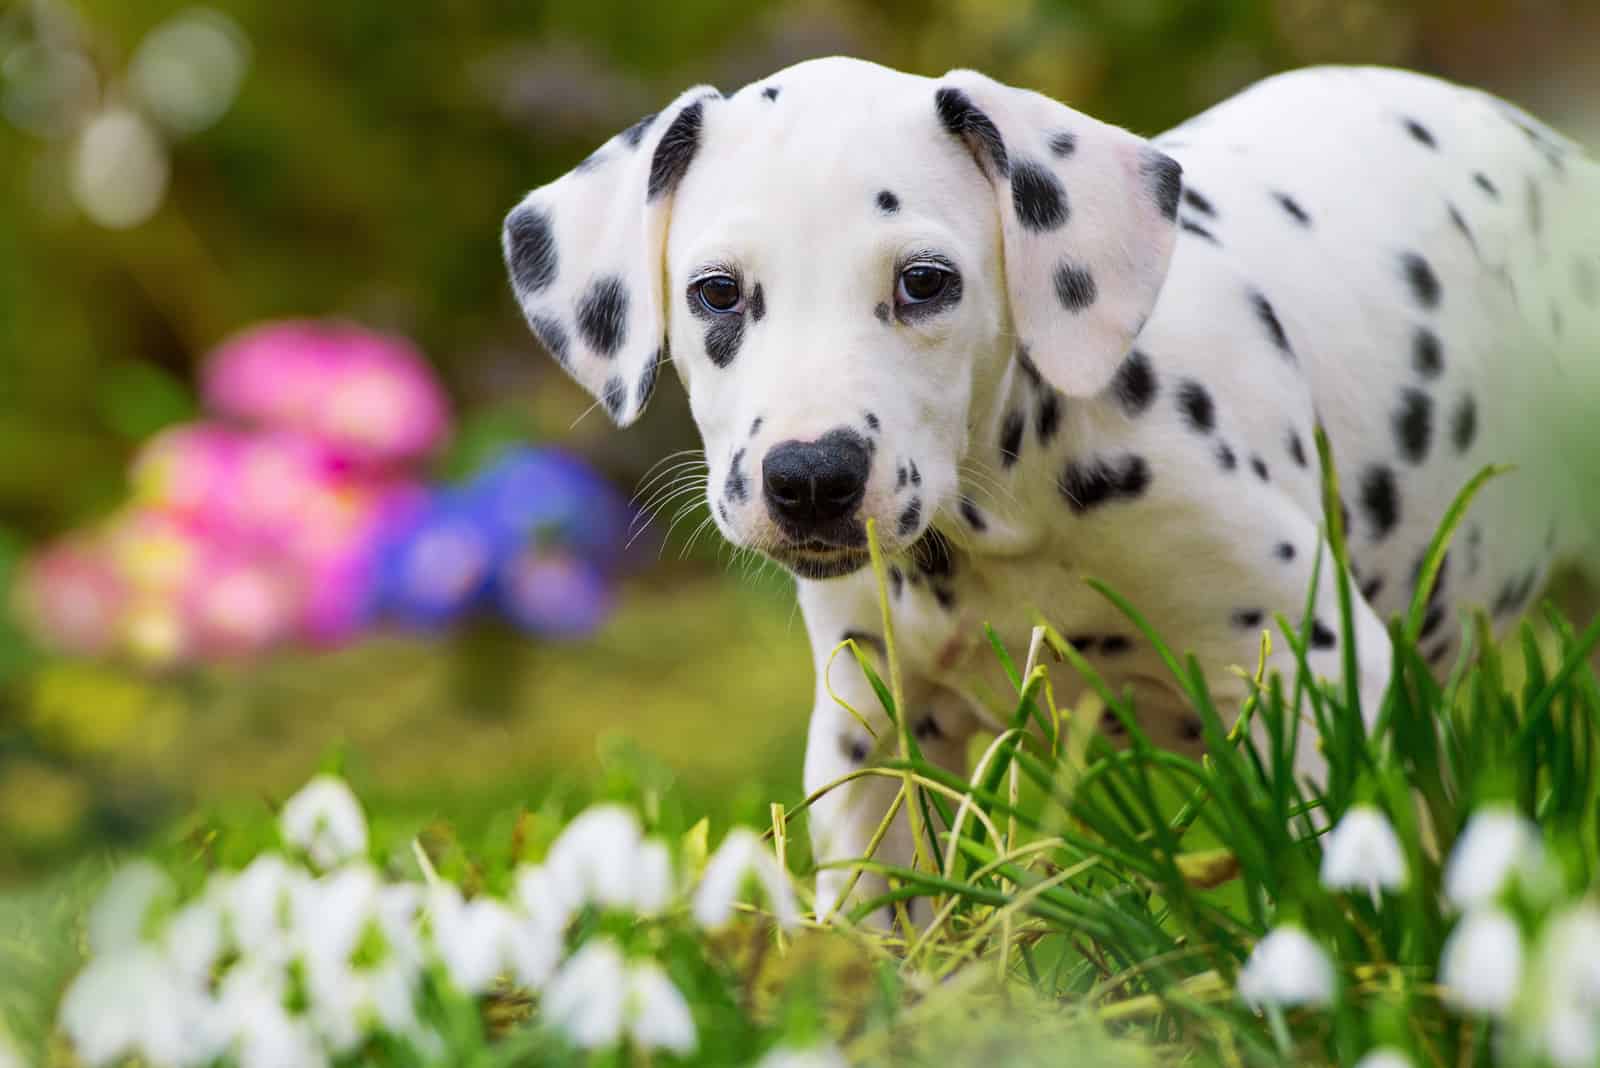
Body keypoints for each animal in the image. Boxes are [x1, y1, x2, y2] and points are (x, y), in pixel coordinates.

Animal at [505, 58, 1600, 920]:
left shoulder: (1319, 672)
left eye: (925, 282)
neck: (1009, 510)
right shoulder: (873, 728)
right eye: (717, 292)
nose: (812, 478)